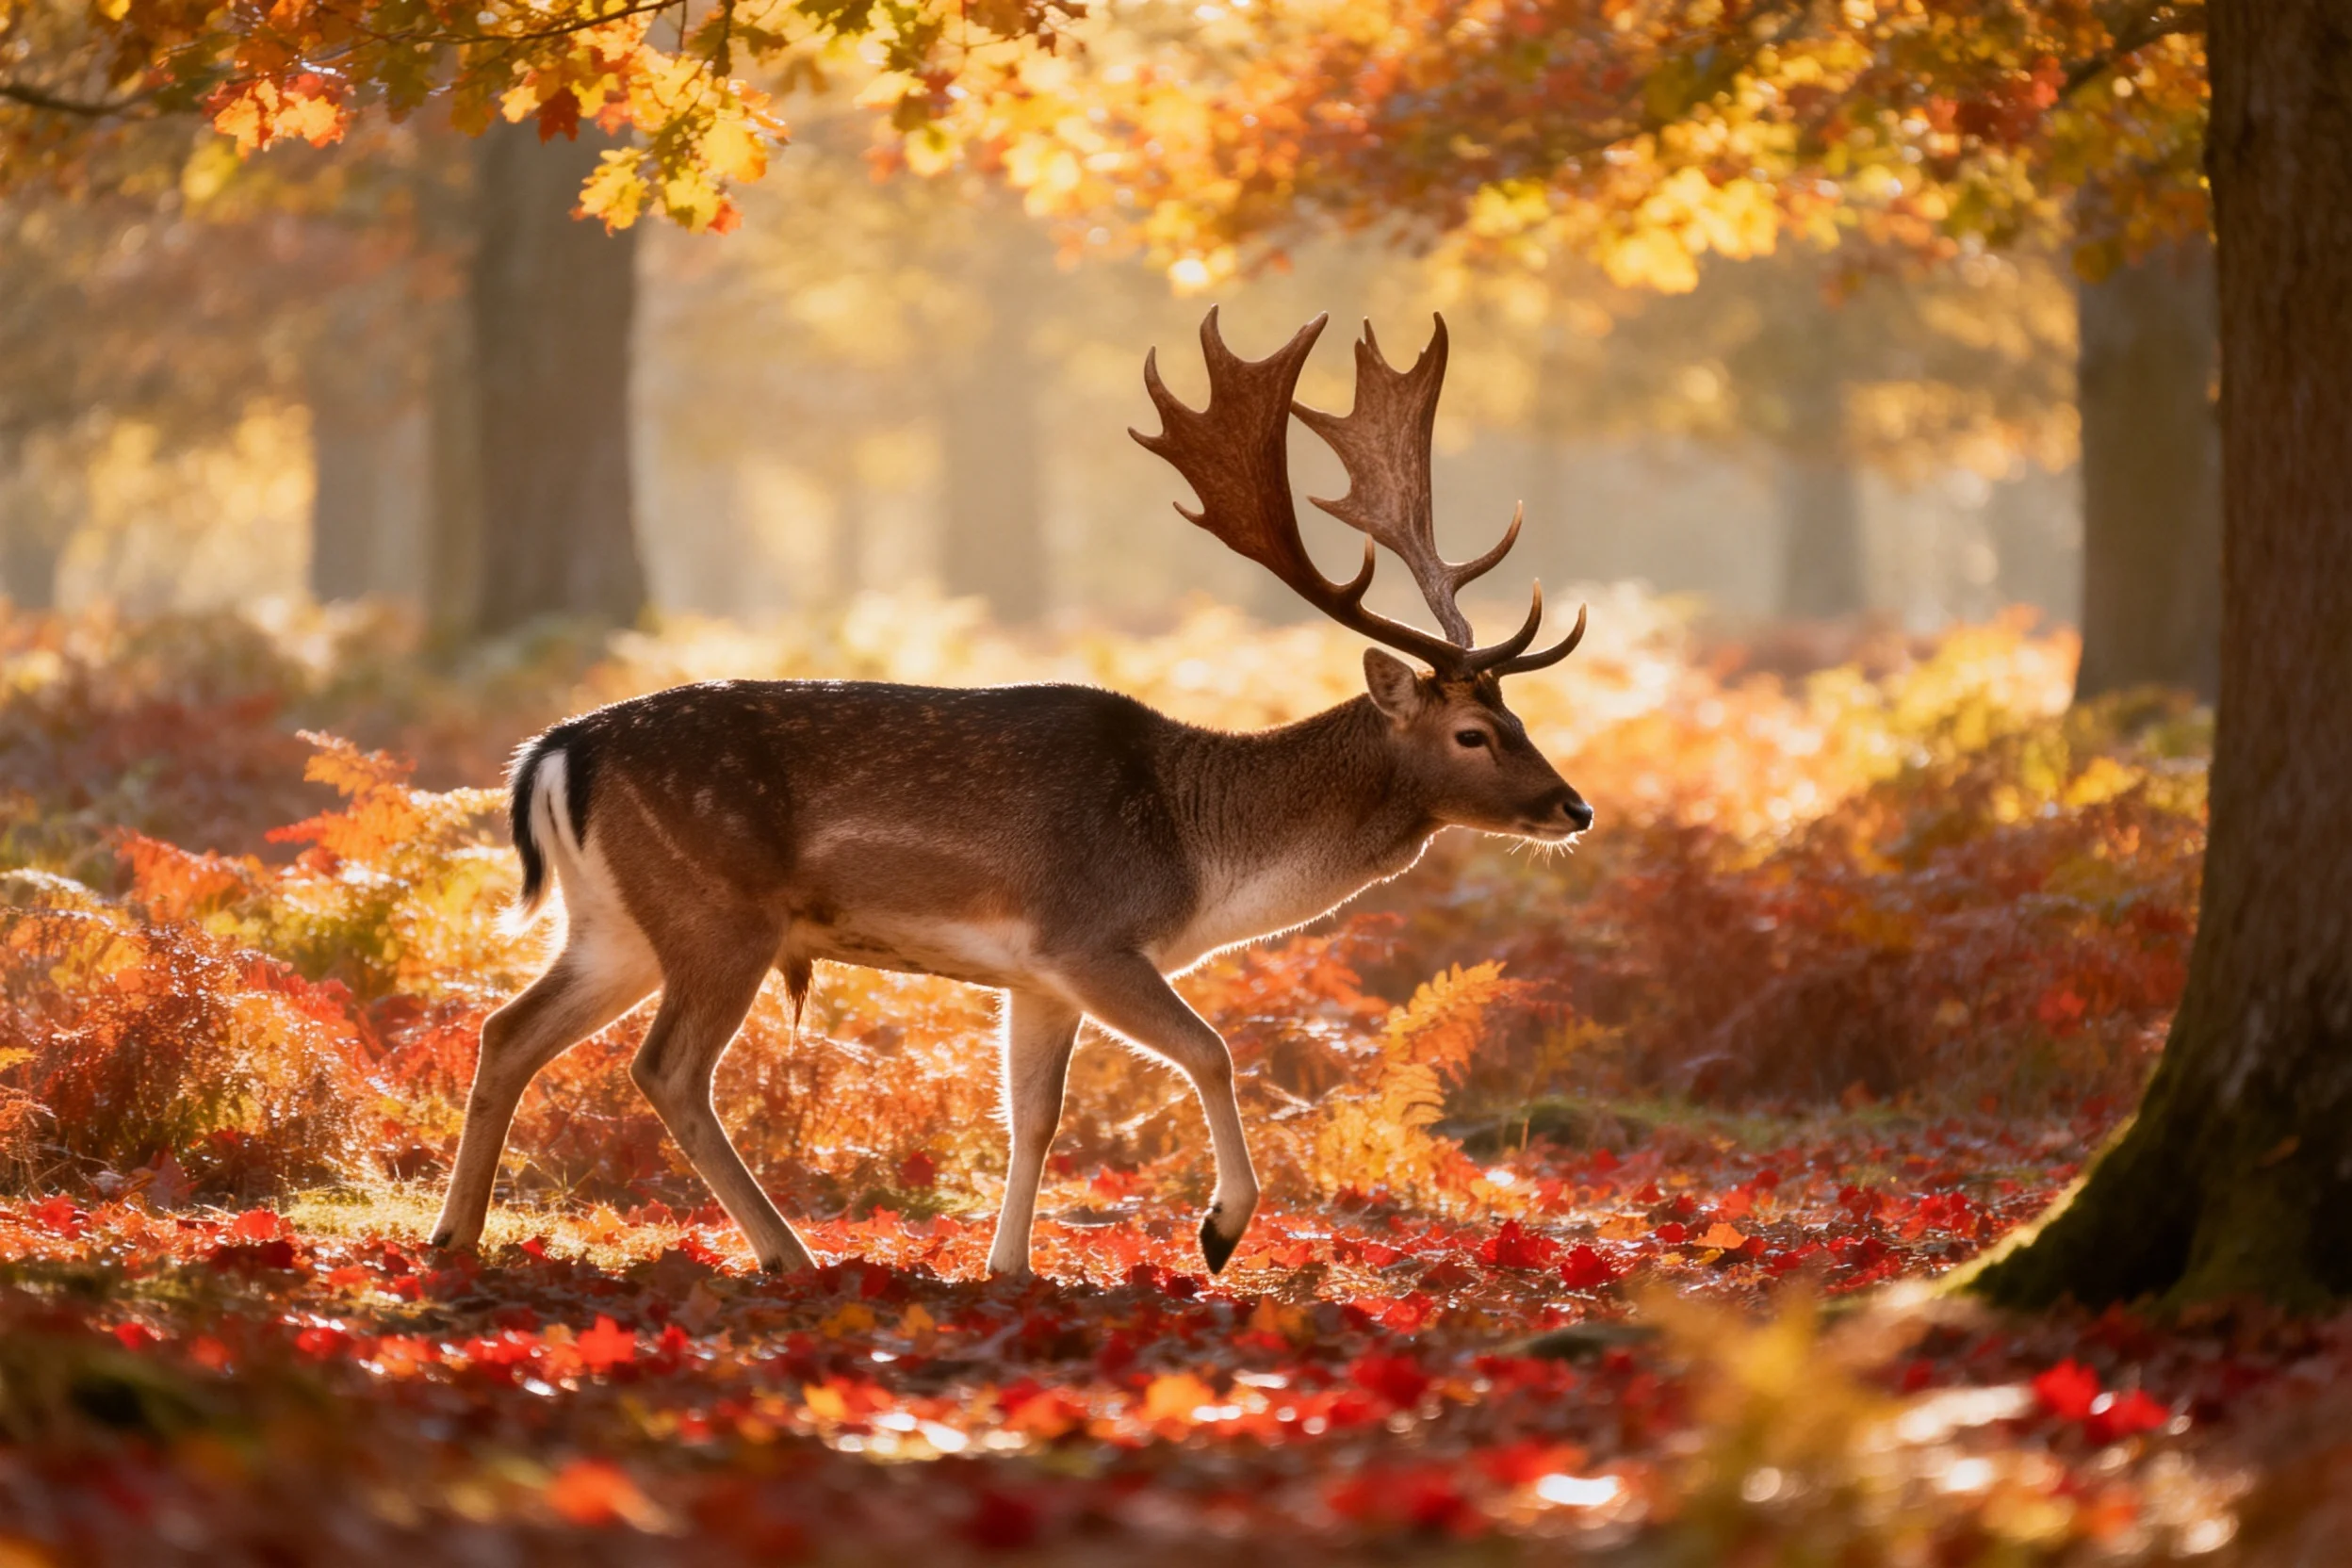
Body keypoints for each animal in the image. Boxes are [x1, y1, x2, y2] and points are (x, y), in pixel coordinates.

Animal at [427, 308, 1594, 1280]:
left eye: (1522, 714)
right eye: (1475, 731)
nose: (1573, 808)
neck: (1203, 856)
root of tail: (554, 748)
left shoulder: (1035, 975)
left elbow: (1032, 1112)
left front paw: (1011, 1263)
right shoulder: (1091, 934)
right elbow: (1212, 1048)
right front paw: (1219, 1229)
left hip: (615, 920)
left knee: (509, 1027)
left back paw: (456, 1234)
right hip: (718, 909)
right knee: (667, 1069)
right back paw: (785, 1250)